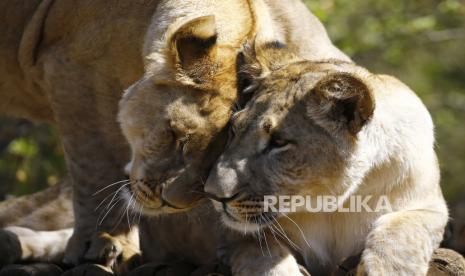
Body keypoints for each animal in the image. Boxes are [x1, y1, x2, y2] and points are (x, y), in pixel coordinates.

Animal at [0, 0, 348, 272]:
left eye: (218, 157)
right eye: (177, 135)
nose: (172, 205)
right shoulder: (71, 67)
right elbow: (94, 165)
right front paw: (103, 242)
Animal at [204, 42, 450, 274]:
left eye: (279, 142)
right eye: (234, 129)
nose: (213, 195)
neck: (330, 205)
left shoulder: (431, 206)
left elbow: (401, 229)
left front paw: (387, 270)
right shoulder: (226, 233)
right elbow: (261, 253)